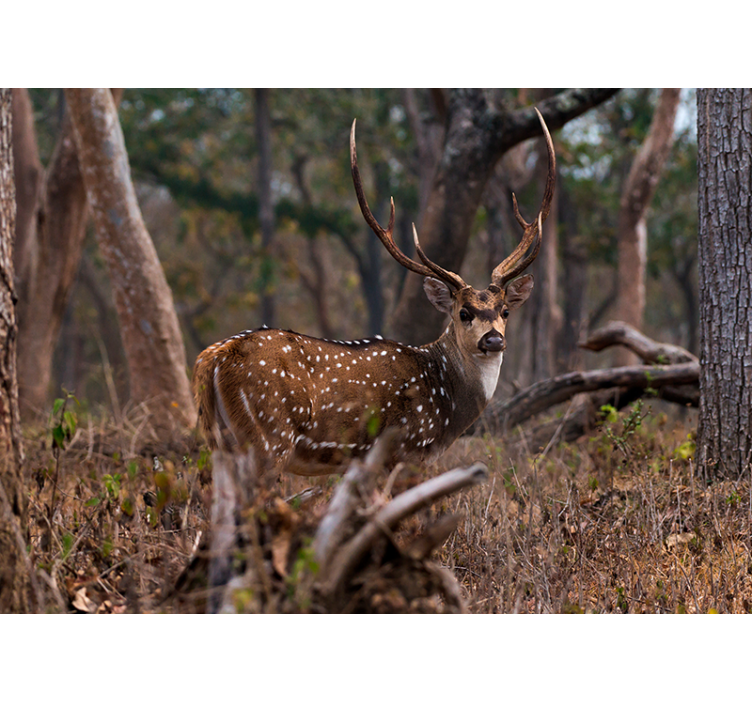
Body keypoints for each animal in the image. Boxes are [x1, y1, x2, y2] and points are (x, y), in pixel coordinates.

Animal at [192, 109, 555, 476]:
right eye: (463, 312)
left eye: (505, 310)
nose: (493, 339)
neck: (447, 406)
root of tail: (212, 358)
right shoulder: (407, 448)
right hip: (269, 435)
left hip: (221, 440)